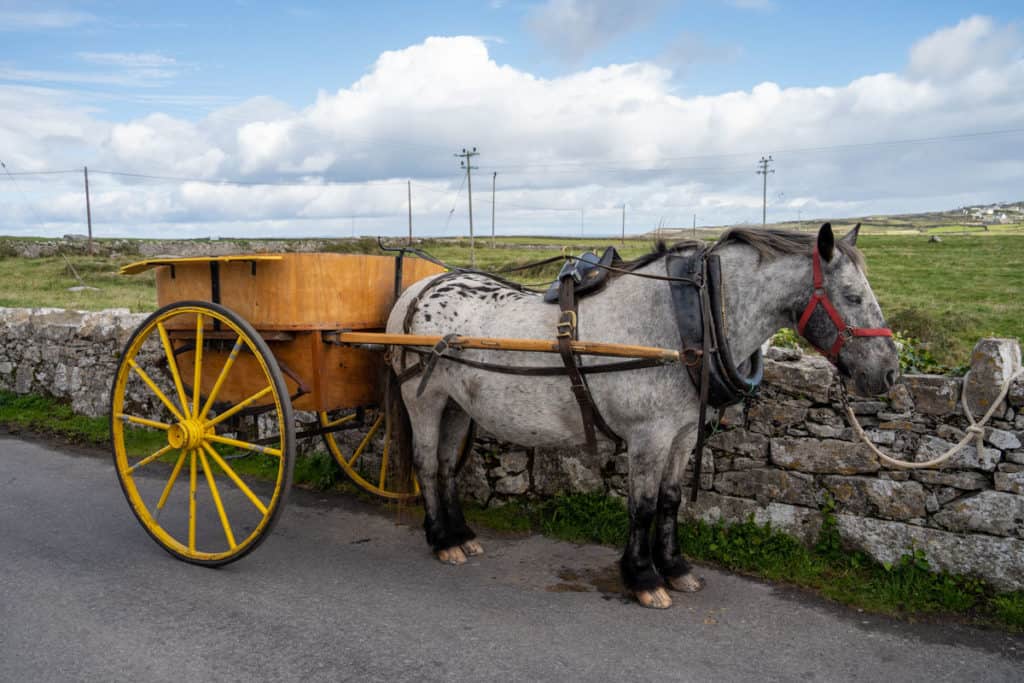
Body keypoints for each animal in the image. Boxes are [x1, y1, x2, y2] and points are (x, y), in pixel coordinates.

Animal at [387, 224, 901, 610]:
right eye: (853, 296)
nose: (889, 372)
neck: (686, 322)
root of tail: (419, 289)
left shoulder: (683, 433)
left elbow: (670, 501)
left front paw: (675, 567)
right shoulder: (648, 435)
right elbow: (643, 505)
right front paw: (643, 578)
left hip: (457, 405)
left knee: (448, 467)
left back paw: (462, 534)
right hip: (423, 399)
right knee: (428, 464)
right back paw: (442, 540)